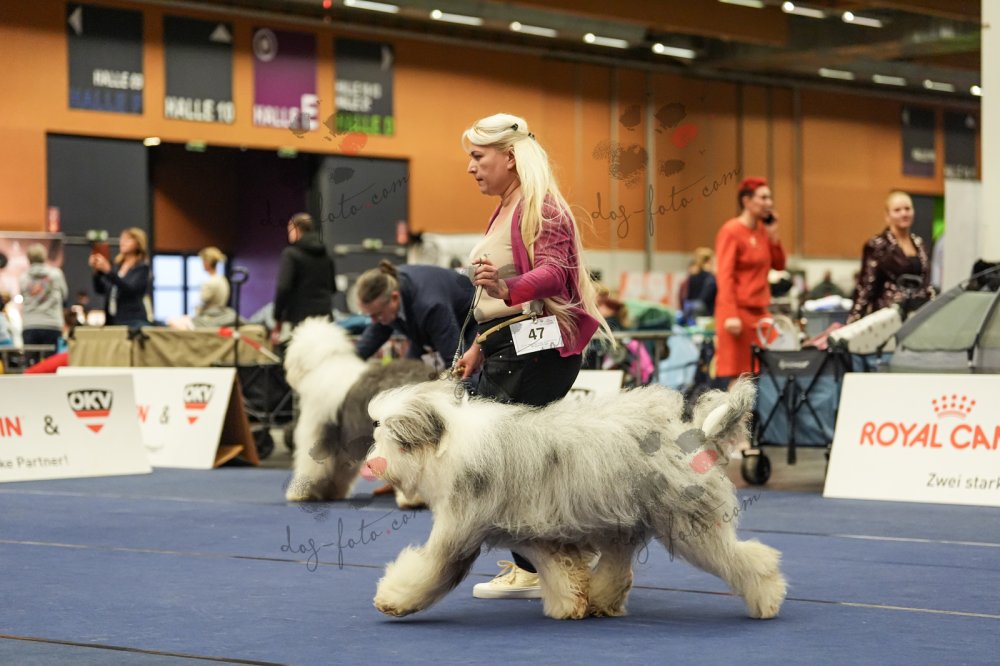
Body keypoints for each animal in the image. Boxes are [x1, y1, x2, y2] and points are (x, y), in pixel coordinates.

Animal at [283, 318, 435, 507]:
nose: (287, 373)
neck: (326, 363)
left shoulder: (317, 431)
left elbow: (311, 465)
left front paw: (300, 494)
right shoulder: (345, 442)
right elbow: (340, 468)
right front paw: (332, 492)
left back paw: (412, 501)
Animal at [365, 378, 787, 620]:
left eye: (387, 436)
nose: (370, 464)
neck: (450, 443)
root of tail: (694, 433)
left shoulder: (459, 527)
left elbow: (431, 569)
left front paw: (393, 598)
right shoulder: (535, 531)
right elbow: (558, 569)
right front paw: (569, 605)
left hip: (688, 523)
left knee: (746, 558)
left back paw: (767, 599)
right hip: (623, 519)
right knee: (618, 567)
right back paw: (600, 602)